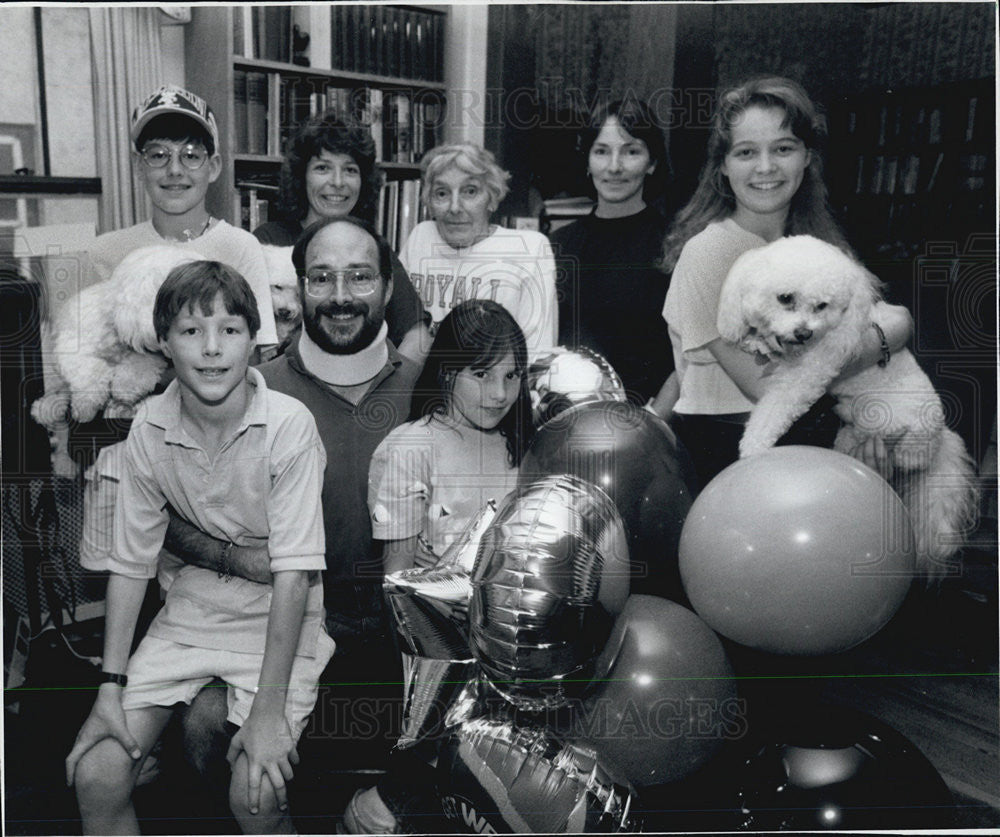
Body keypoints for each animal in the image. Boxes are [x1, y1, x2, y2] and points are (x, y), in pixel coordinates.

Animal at [31, 242, 199, 424]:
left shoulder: (149, 350)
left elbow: (141, 365)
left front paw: (125, 386)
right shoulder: (70, 345)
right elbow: (88, 372)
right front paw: (85, 406)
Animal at [720, 232, 976, 580]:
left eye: (822, 305)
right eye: (785, 298)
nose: (804, 333)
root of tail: (941, 439)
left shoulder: (811, 372)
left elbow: (776, 405)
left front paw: (753, 446)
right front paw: (758, 340)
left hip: (904, 430)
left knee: (909, 453)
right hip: (855, 431)